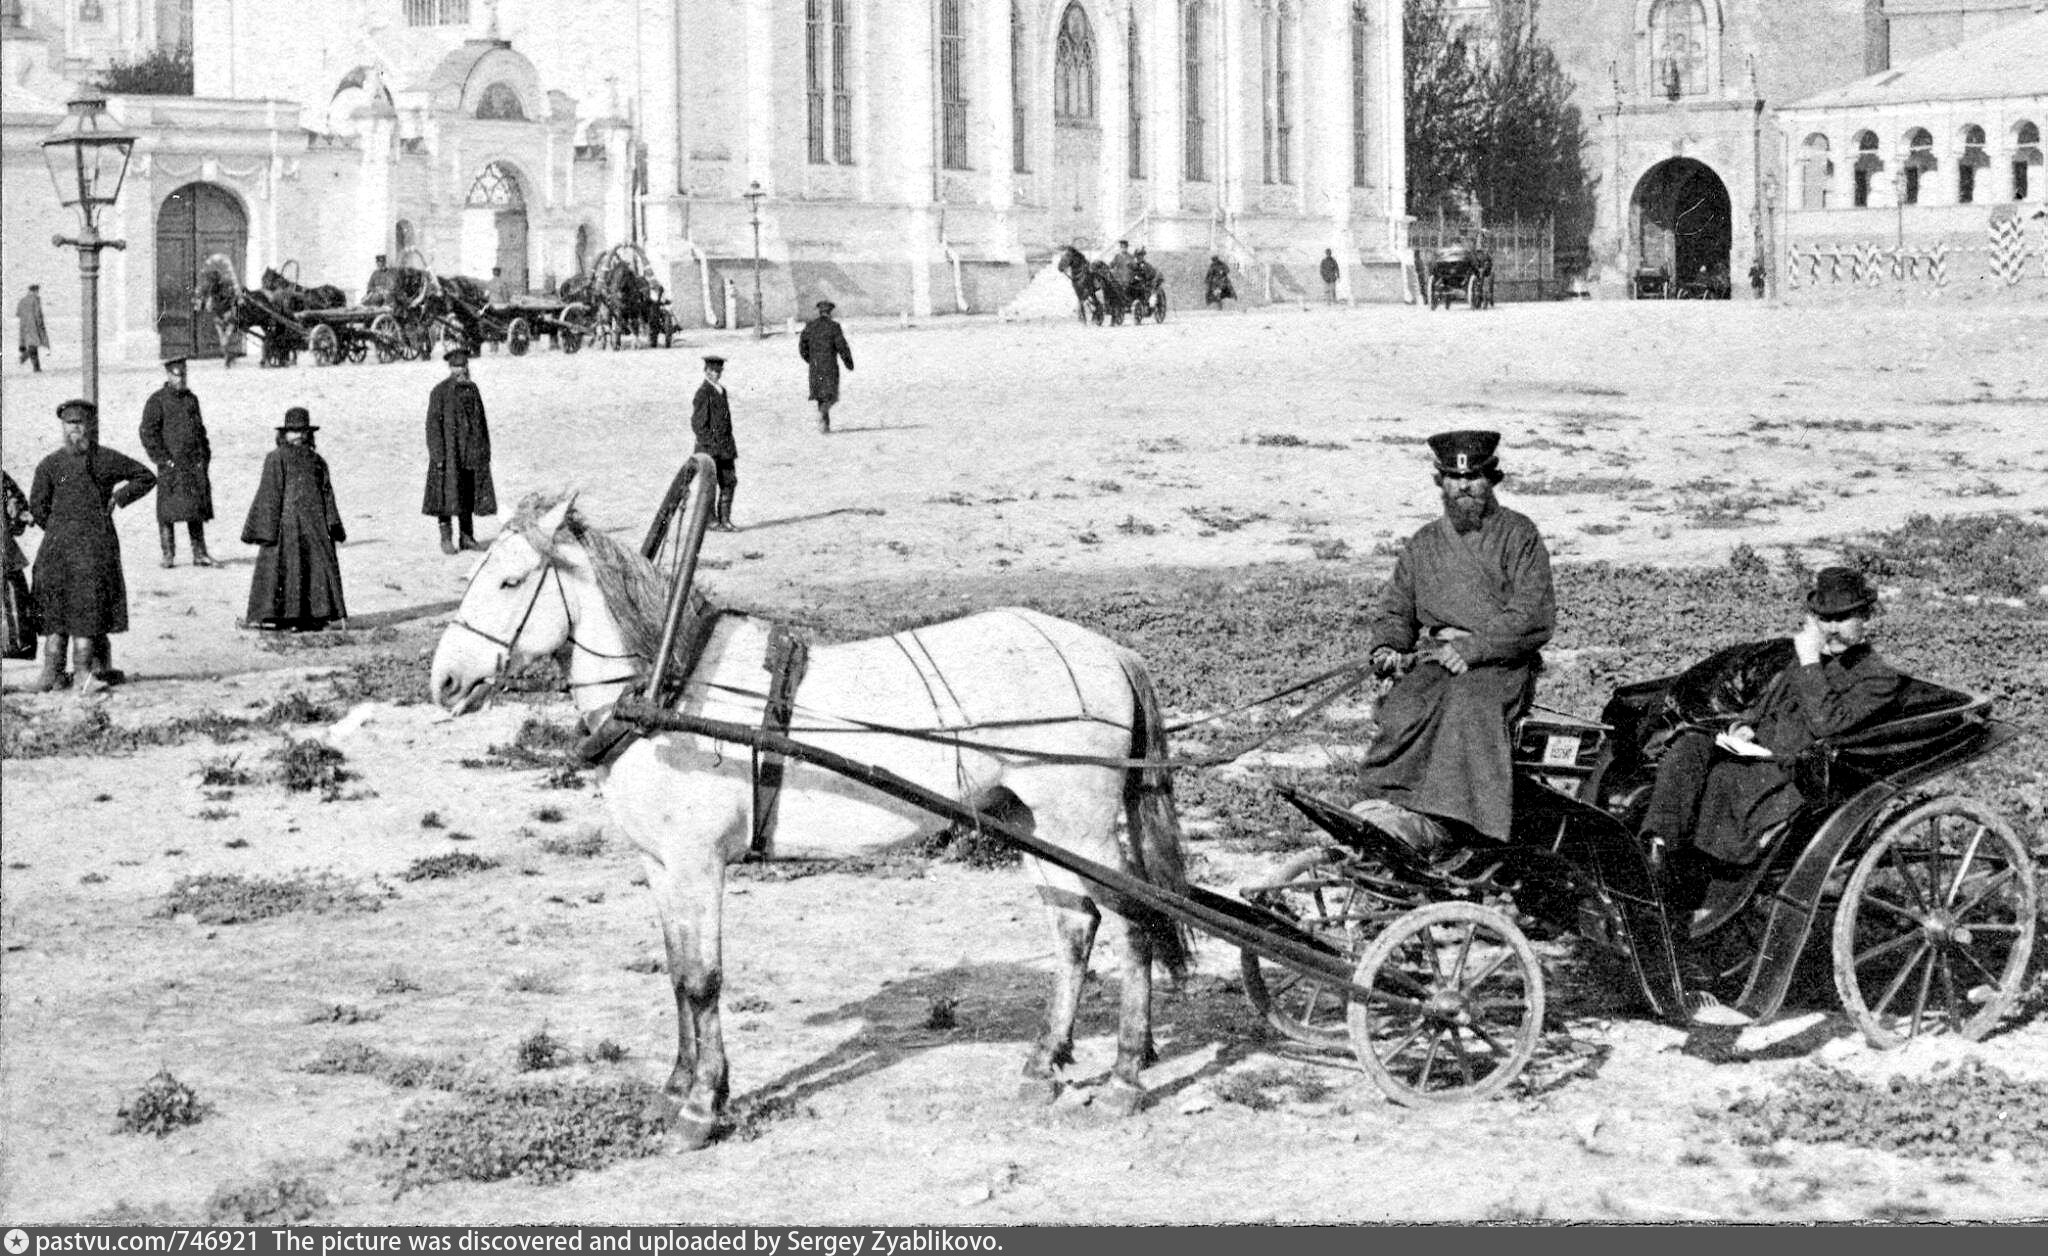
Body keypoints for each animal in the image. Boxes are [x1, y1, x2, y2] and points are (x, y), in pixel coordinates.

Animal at [434, 487, 1196, 1147]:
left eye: (509, 583)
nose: (444, 682)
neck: (670, 689)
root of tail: (1109, 651)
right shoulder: (662, 867)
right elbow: (678, 975)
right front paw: (677, 1087)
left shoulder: (697, 863)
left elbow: (704, 980)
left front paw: (702, 1106)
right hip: (1033, 823)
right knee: (1075, 930)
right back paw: (1044, 1064)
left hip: (1079, 828)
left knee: (1137, 927)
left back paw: (1126, 1076)